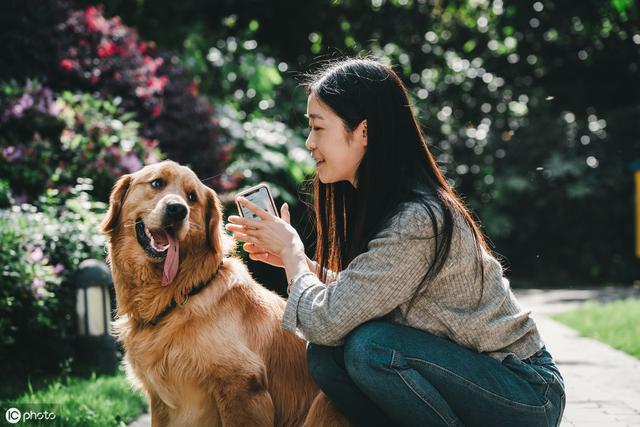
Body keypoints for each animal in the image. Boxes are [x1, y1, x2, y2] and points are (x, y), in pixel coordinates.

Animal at [101, 160, 350, 427]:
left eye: (192, 197)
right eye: (157, 183)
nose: (177, 210)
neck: (181, 293)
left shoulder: (243, 386)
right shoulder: (159, 402)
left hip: (325, 404)